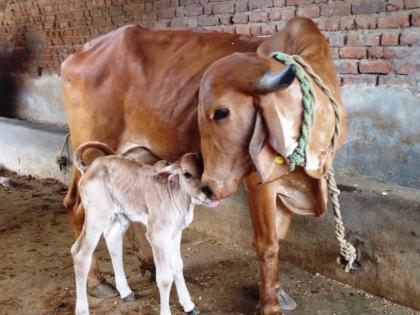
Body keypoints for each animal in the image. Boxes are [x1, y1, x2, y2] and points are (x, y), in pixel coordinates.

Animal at [61, 17, 344, 315]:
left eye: (221, 112)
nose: (209, 187)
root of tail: (82, 52)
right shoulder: (258, 182)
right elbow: (268, 243)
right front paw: (269, 304)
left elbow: (279, 236)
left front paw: (278, 293)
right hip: (94, 150)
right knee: (76, 209)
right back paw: (97, 281)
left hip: (135, 157)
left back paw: (147, 266)